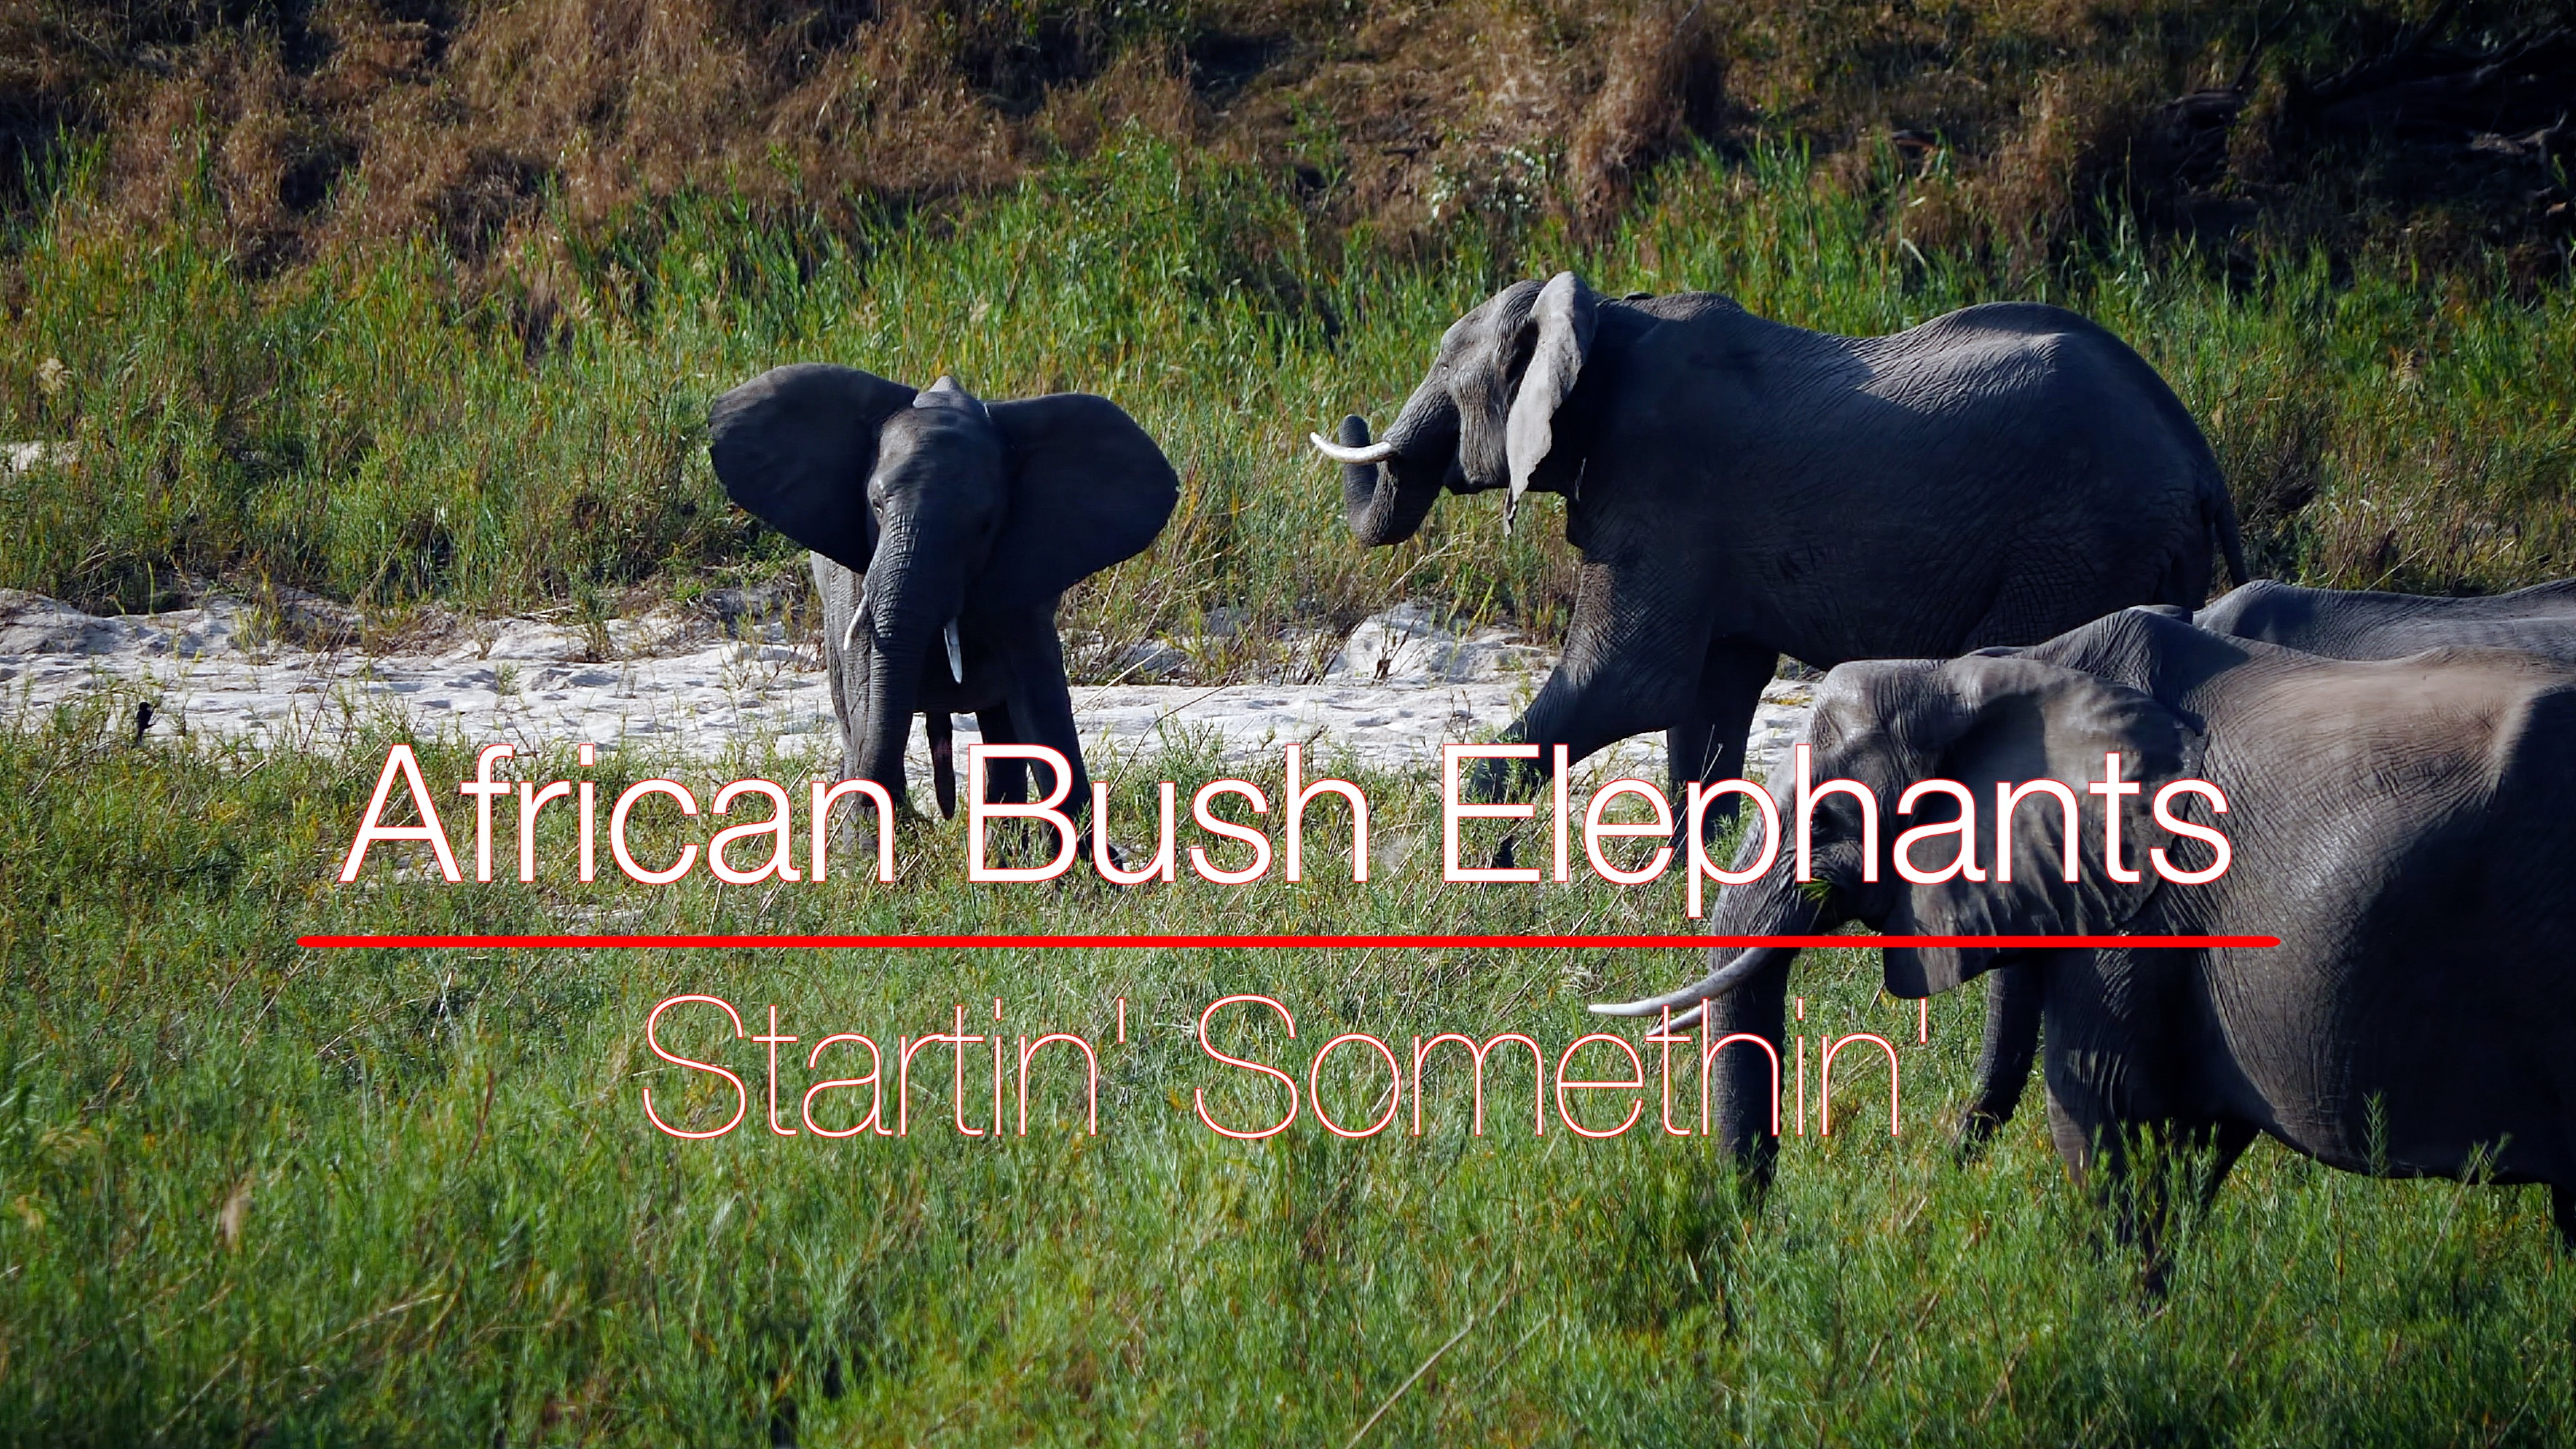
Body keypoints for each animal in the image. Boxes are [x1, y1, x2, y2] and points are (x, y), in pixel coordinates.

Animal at [708, 365, 1177, 834]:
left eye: (984, 523)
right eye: (875, 505)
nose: (913, 819)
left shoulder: (1025, 574)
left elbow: (1041, 703)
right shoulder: (855, 581)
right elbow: (867, 692)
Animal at [1309, 273, 2249, 840]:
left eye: (1443, 364)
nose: (1351, 420)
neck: (1600, 317)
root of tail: (2201, 459)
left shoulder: (1661, 484)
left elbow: (1631, 679)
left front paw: (1455, 846)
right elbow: (1705, 694)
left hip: (2080, 543)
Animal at [1593, 606, 2576, 1275]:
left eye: (1833, 819)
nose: (1761, 1244)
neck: (2004, 670)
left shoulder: (2151, 902)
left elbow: (2105, 1110)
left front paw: (2116, 1340)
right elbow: (2184, 1144)